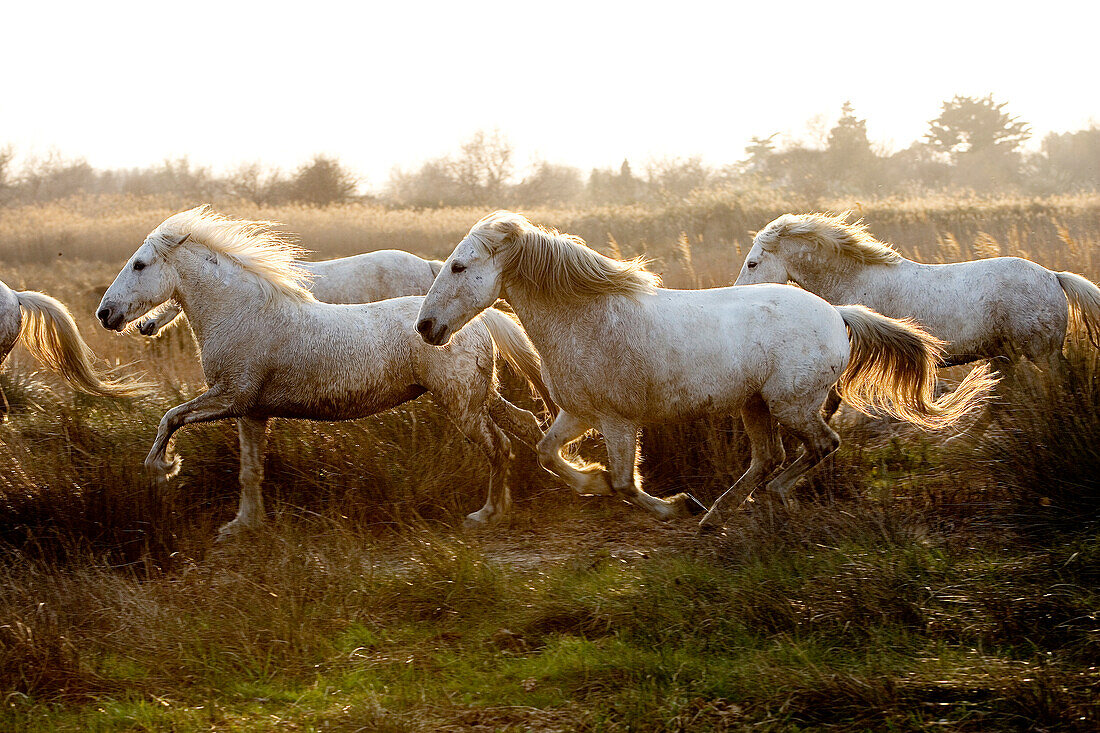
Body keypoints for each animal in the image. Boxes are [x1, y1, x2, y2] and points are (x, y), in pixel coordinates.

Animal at [413, 210, 998, 526]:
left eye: (459, 266)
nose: (425, 327)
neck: (585, 319)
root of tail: (838, 313)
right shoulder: (578, 413)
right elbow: (545, 453)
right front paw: (592, 482)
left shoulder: (617, 420)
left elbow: (624, 483)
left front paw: (673, 506)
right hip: (755, 406)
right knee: (769, 458)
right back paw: (718, 516)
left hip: (791, 403)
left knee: (820, 446)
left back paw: (752, 503)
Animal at [734, 211, 1100, 424]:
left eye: (753, 263)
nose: (736, 294)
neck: (855, 280)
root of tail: (1053, 276)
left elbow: (830, 404)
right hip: (1004, 356)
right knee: (998, 401)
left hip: (1041, 353)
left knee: (1063, 384)